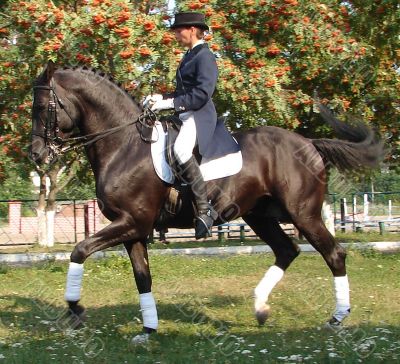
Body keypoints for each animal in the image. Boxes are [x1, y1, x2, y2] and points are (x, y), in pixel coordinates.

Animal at [28, 62, 384, 344]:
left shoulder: (131, 222)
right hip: (259, 215)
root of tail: (308, 143)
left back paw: (336, 318)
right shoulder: (134, 230)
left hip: (304, 214)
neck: (124, 145)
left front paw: (75, 308)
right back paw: (260, 307)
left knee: (333, 254)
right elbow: (143, 278)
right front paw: (148, 330)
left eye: (43, 106)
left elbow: (79, 250)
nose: (37, 155)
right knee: (287, 250)